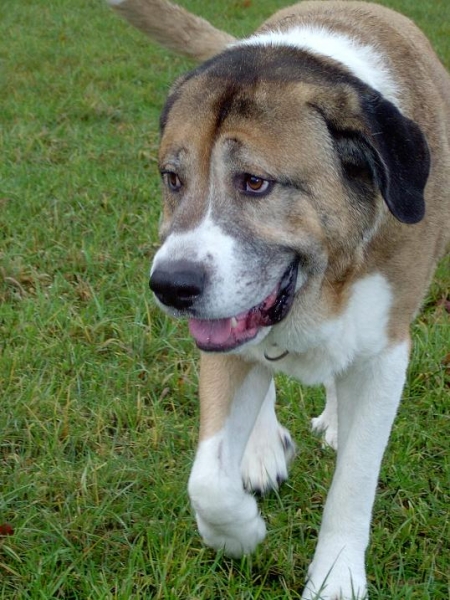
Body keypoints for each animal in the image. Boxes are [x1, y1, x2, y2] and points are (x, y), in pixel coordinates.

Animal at [107, 2, 448, 596]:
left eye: (255, 183)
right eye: (172, 179)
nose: (171, 285)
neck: (321, 283)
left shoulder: (386, 352)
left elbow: (355, 478)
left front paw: (336, 576)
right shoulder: (224, 336)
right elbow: (207, 479)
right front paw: (239, 531)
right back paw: (262, 447)